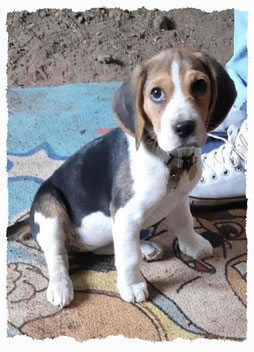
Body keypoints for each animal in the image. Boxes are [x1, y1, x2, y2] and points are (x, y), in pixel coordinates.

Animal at [29, 46, 236, 306]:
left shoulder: (178, 199)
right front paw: (132, 285)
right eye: (156, 93)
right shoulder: (126, 214)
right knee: (59, 256)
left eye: (200, 85)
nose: (184, 127)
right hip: (50, 211)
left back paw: (145, 247)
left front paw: (193, 246)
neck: (169, 158)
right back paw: (60, 286)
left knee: (102, 248)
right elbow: (128, 257)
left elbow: (185, 223)